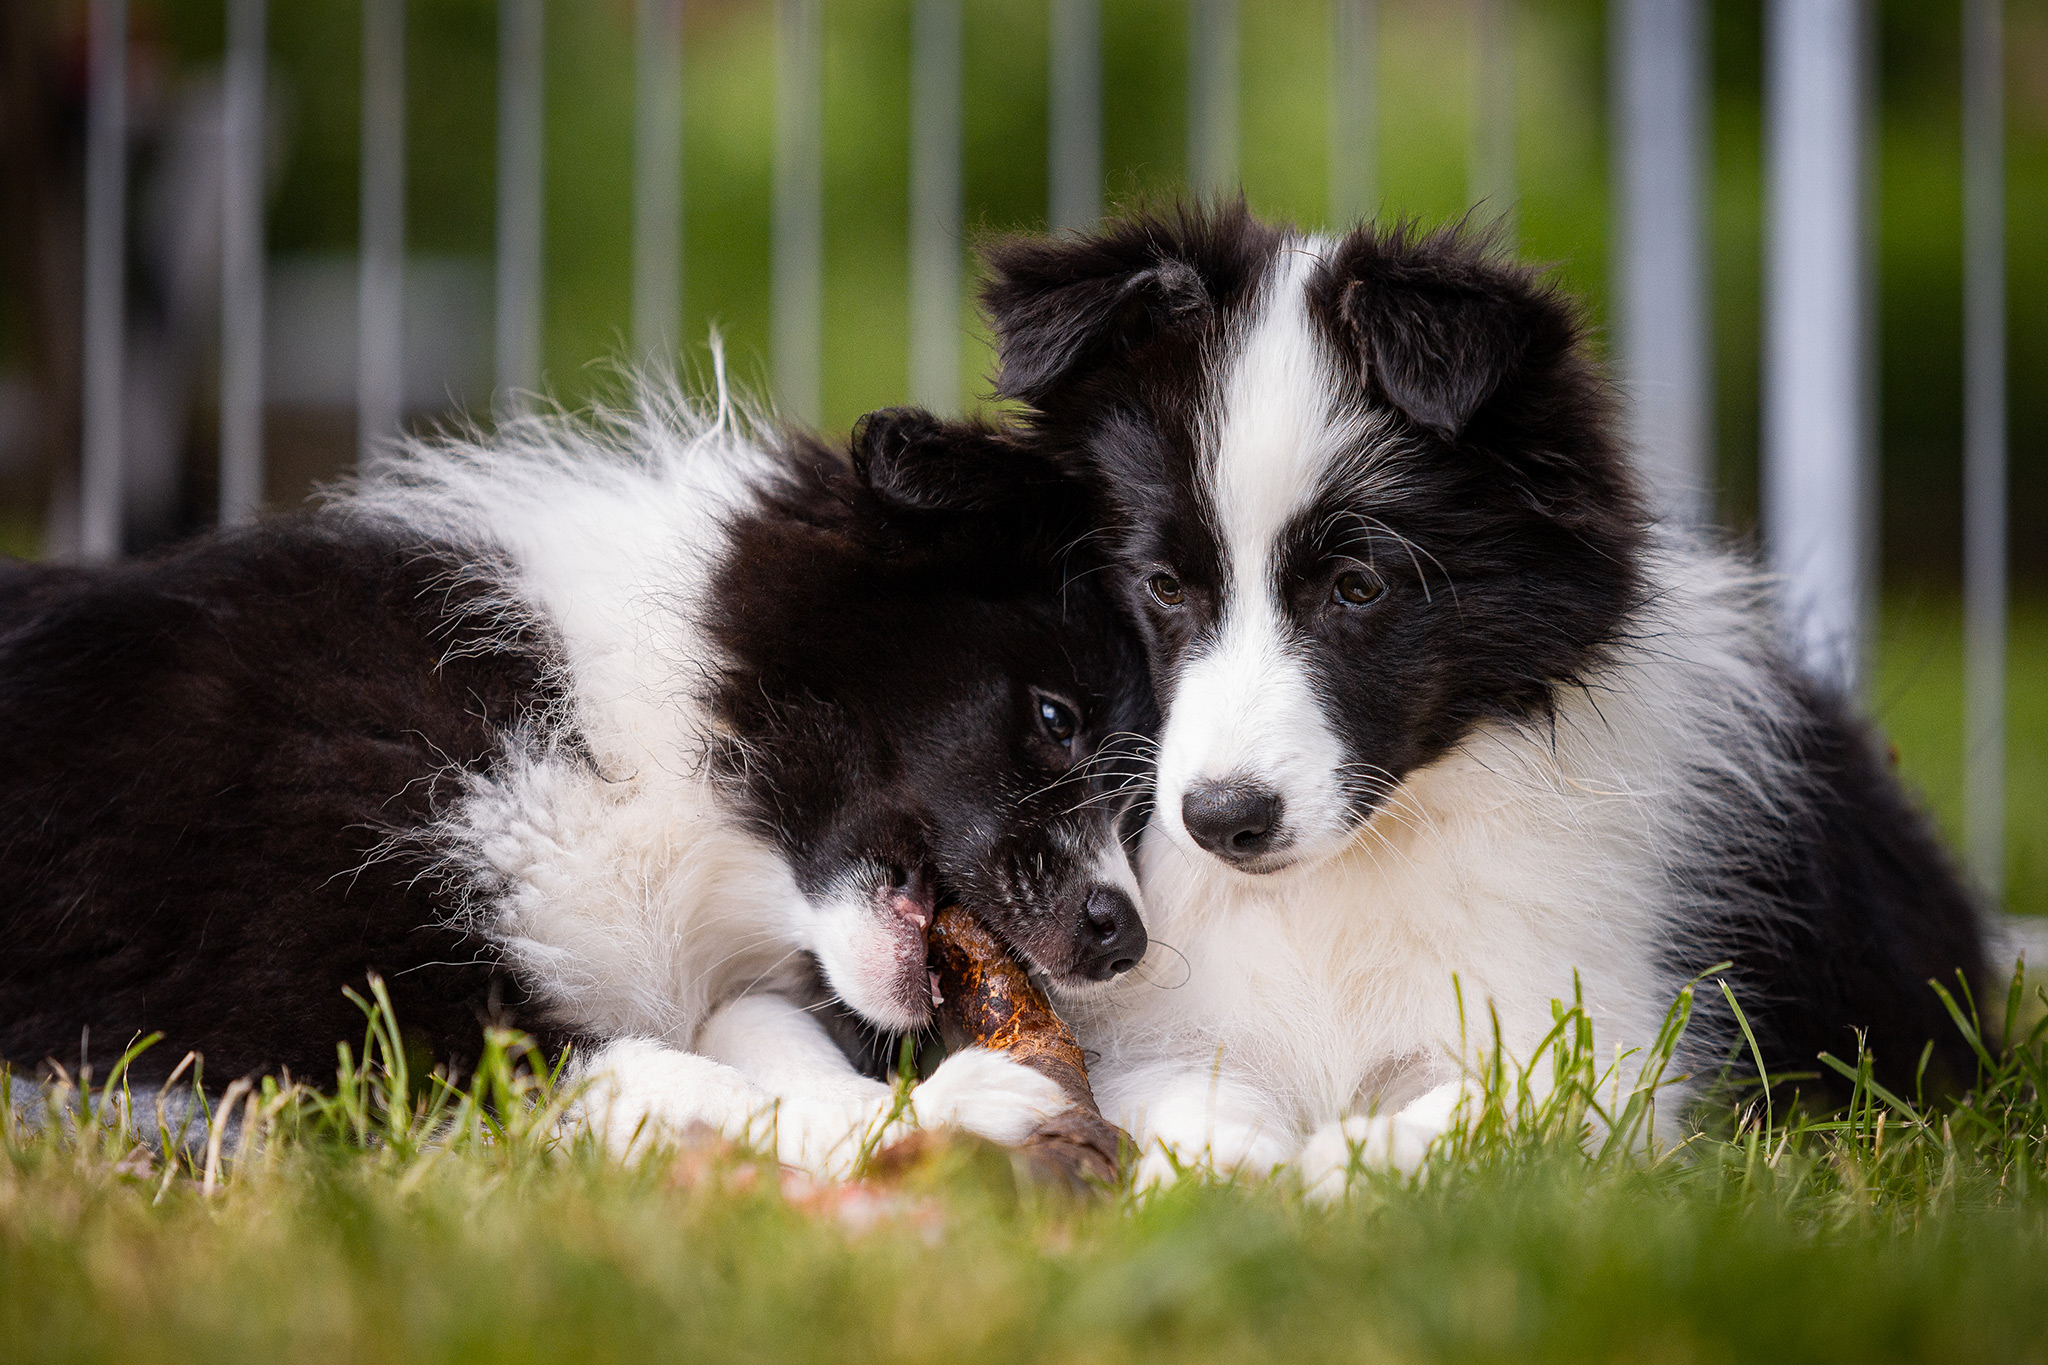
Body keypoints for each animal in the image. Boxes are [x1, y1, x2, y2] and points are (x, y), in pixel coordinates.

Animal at [0, 384, 1155, 1178]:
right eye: (1056, 719)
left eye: (1143, 813)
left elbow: (739, 1026)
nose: (1125, 940)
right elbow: (657, 1073)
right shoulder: (318, 1017)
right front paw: (956, 1110)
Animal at [950, 205, 1990, 1195]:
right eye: (1164, 585)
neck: (1345, 873)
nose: (1223, 819)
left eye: (1358, 586)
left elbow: (1496, 1105)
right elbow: (1179, 1093)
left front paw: (1349, 1169)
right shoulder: (1155, 1025)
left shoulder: (1601, 1042)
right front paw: (1218, 1175)